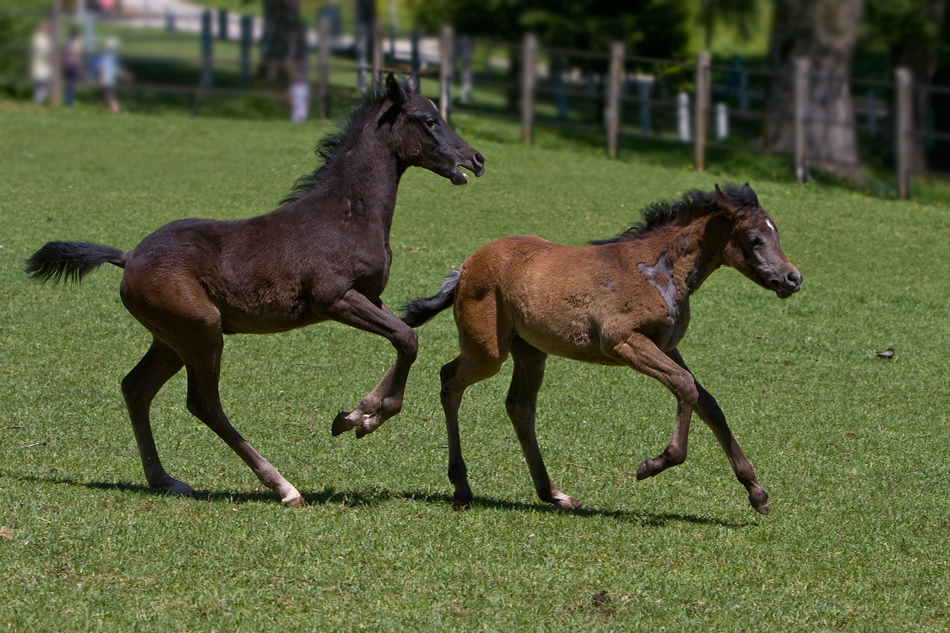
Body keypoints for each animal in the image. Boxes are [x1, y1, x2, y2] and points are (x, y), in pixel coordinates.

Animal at [26, 75, 488, 504]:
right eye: (429, 120)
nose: (477, 159)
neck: (347, 213)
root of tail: (128, 257)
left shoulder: (370, 297)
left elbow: (403, 339)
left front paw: (355, 416)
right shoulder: (335, 299)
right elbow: (407, 339)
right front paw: (366, 418)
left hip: (171, 338)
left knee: (136, 387)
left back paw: (165, 479)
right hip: (202, 331)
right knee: (203, 403)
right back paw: (282, 486)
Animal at [404, 183, 804, 512]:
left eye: (776, 234)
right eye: (753, 238)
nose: (792, 278)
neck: (658, 271)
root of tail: (465, 267)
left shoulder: (667, 347)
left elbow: (707, 403)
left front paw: (757, 492)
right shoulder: (623, 341)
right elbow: (685, 387)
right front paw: (653, 465)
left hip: (530, 351)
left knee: (519, 406)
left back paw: (554, 494)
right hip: (489, 351)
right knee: (450, 380)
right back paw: (461, 487)